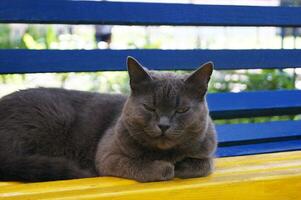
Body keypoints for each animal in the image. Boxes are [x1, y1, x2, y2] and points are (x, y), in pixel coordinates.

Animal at [0, 57, 216, 182]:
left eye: (181, 110)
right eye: (149, 107)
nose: (163, 125)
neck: (166, 153)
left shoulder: (207, 151)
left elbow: (204, 165)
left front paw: (183, 165)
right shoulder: (108, 155)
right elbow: (139, 165)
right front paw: (165, 167)